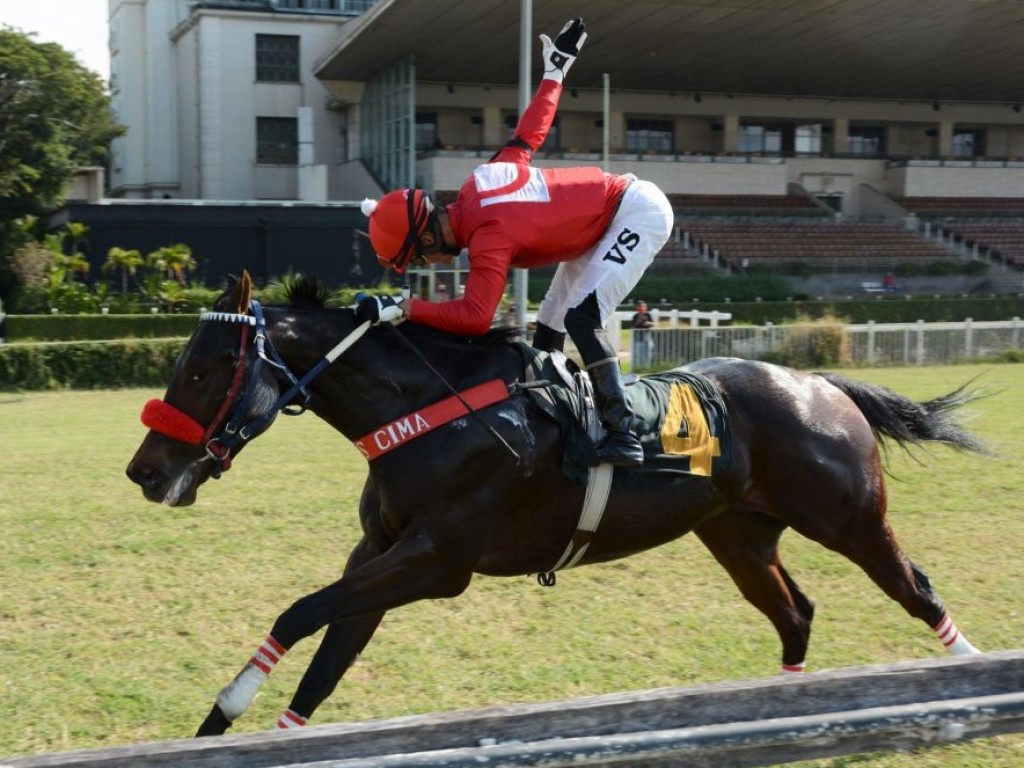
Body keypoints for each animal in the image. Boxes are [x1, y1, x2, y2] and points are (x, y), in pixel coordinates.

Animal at [123, 274, 987, 737]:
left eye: (202, 368)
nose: (144, 471)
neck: (427, 411)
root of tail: (821, 383)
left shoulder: (437, 563)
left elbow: (302, 611)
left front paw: (227, 707)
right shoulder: (381, 552)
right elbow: (327, 657)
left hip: (849, 518)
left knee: (917, 591)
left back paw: (970, 672)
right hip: (738, 535)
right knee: (795, 614)